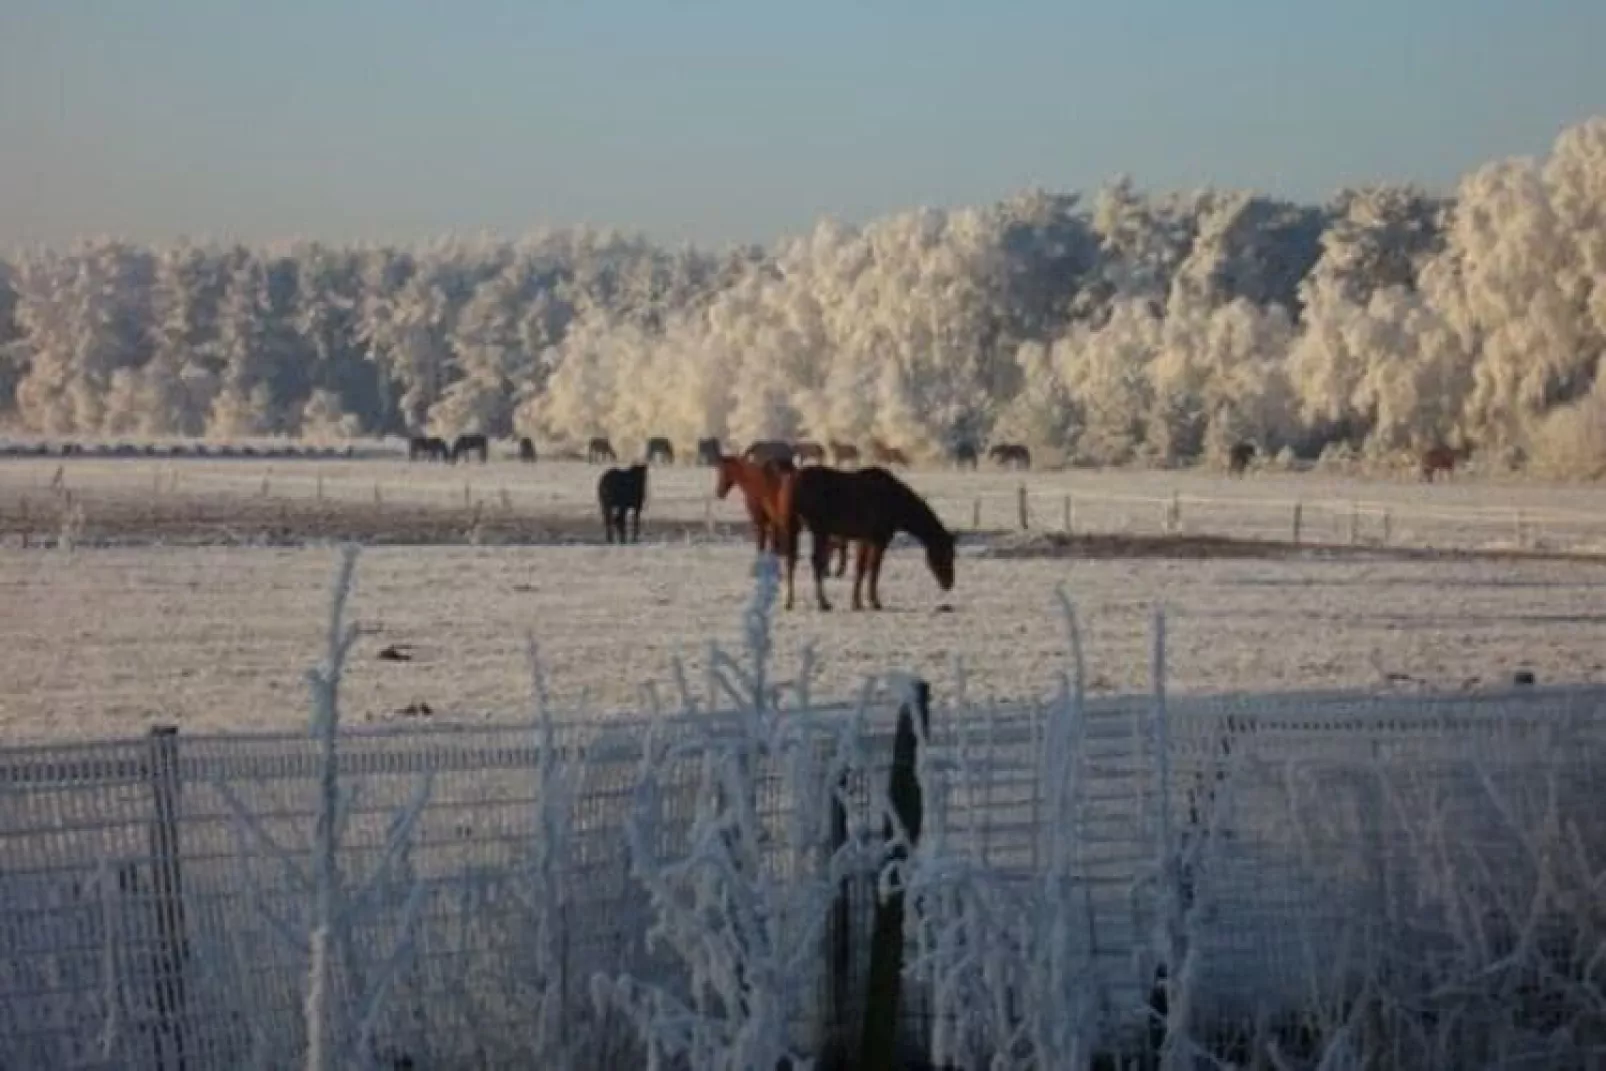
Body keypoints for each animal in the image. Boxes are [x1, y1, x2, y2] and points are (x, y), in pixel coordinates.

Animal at [777, 462, 950, 610]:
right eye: (945, 554)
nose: (949, 584)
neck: (894, 501)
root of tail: (793, 480)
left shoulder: (864, 540)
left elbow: (861, 568)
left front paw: (857, 602)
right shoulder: (879, 540)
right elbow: (873, 569)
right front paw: (874, 601)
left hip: (793, 528)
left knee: (791, 560)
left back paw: (789, 601)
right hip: (819, 531)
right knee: (815, 562)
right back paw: (823, 602)